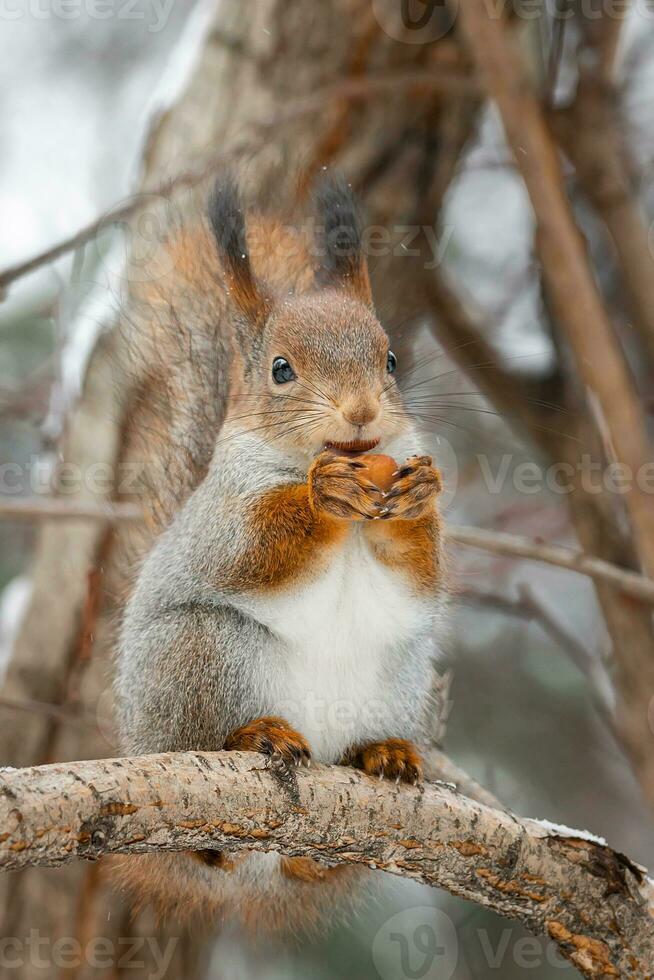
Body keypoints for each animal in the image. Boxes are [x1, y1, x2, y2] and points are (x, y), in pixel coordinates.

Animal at [115, 174, 448, 936]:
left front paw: (420, 498)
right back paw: (253, 740)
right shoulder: (226, 517)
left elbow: (421, 577)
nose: (360, 412)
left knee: (306, 859)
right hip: (199, 655)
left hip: (399, 676)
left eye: (391, 359)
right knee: (207, 823)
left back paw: (378, 757)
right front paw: (323, 494)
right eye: (280, 370)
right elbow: (258, 548)